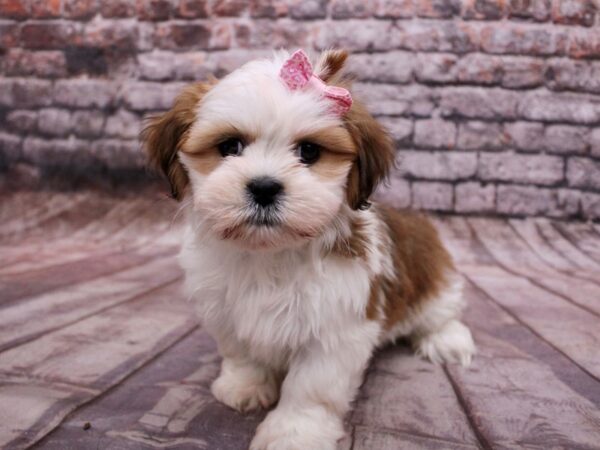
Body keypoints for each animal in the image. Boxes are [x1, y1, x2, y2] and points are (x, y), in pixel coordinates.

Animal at [143, 49, 476, 450]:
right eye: (230, 147)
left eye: (309, 151)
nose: (264, 187)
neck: (269, 254)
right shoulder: (225, 309)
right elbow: (241, 353)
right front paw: (244, 386)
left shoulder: (336, 326)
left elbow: (310, 388)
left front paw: (293, 433)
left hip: (434, 281)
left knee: (440, 311)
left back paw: (446, 339)